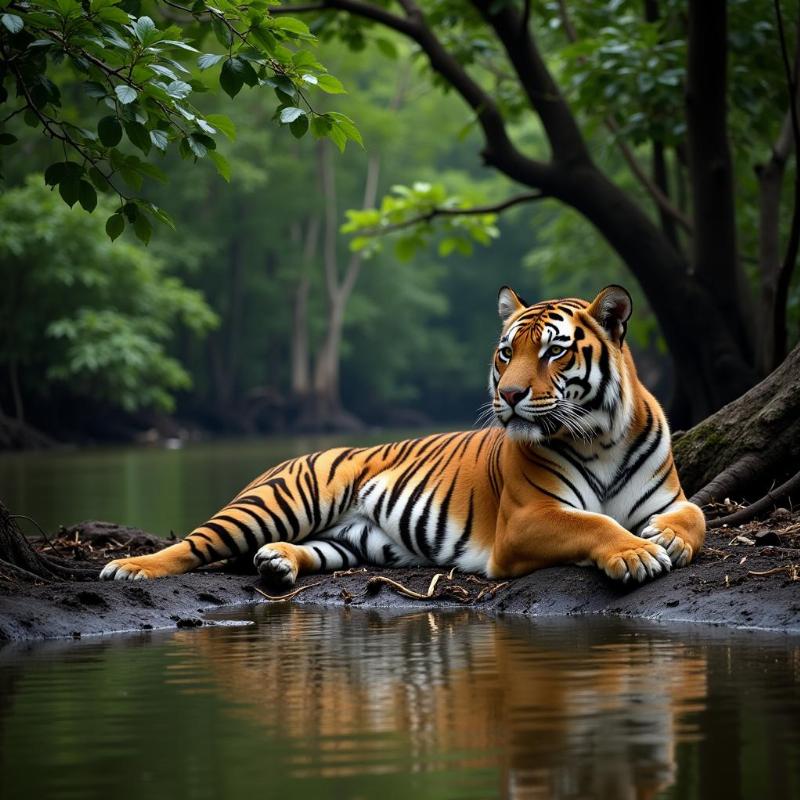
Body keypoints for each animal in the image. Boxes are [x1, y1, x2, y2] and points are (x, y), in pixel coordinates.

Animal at [101, 288, 708, 588]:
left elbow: (695, 513)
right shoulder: (525, 518)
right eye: (506, 352)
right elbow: (592, 522)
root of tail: (288, 457)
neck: (600, 436)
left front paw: (668, 538)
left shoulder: (669, 495)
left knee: (308, 550)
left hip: (351, 541)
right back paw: (130, 568)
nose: (509, 394)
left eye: (554, 351)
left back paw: (277, 562)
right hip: (277, 502)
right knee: (192, 543)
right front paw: (636, 552)